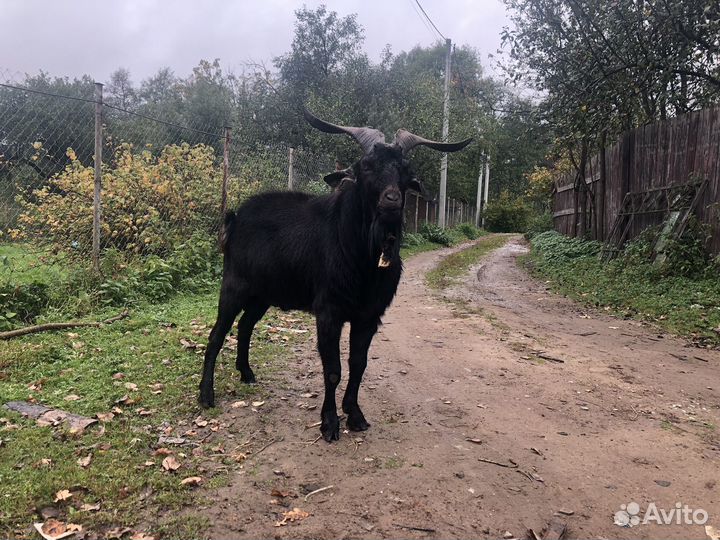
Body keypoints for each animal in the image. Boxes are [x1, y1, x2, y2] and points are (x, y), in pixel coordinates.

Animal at [199, 110, 472, 442]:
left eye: (406, 170)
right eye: (365, 166)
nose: (391, 201)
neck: (359, 257)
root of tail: (236, 217)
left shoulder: (369, 315)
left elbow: (358, 365)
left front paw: (355, 415)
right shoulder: (329, 312)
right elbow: (333, 369)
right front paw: (329, 423)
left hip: (262, 294)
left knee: (245, 326)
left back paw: (247, 373)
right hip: (234, 285)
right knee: (217, 333)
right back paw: (206, 395)